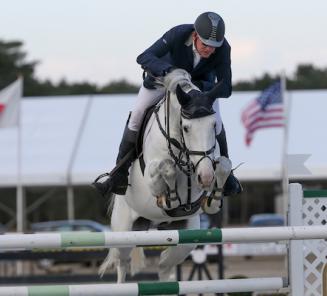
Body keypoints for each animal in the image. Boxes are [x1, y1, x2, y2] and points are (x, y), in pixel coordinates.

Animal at [98, 69, 232, 282]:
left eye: (213, 126)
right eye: (186, 128)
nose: (205, 177)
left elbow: (224, 165)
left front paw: (214, 199)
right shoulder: (152, 173)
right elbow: (165, 167)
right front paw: (170, 197)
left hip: (187, 235)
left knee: (165, 264)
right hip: (124, 230)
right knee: (123, 263)